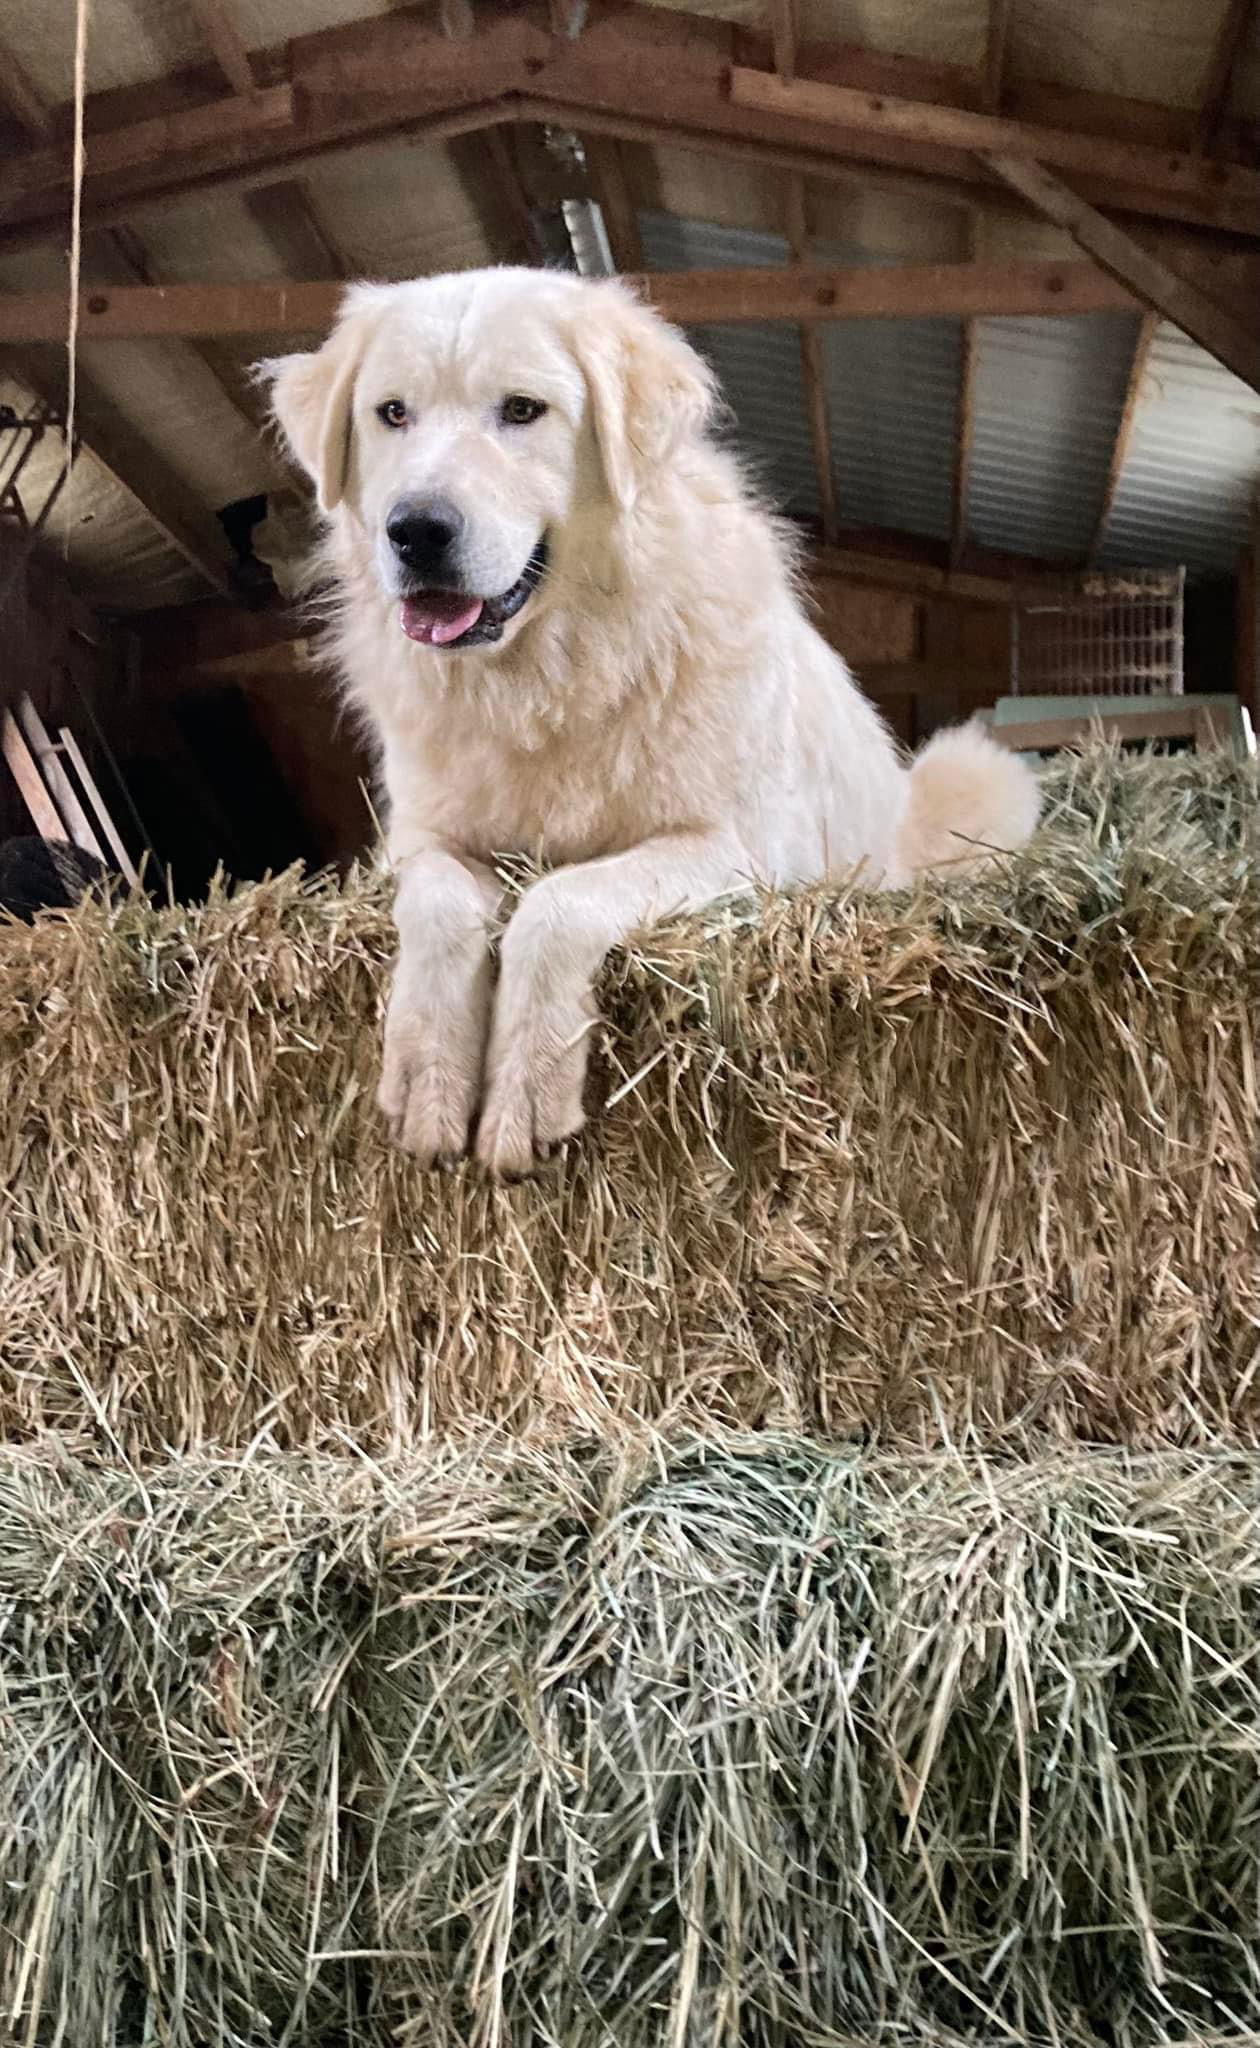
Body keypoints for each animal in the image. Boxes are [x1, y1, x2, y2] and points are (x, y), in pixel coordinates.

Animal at [264, 264, 1036, 1179]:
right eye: (392, 413)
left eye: (522, 410)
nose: (416, 530)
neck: (549, 677)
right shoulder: (415, 841)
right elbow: (444, 902)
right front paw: (429, 1073)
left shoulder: (739, 849)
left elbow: (559, 903)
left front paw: (525, 1088)